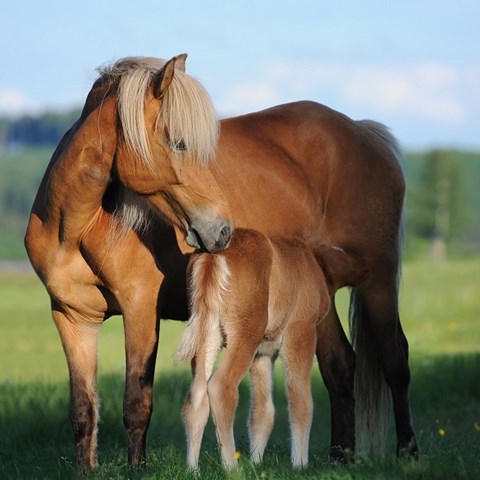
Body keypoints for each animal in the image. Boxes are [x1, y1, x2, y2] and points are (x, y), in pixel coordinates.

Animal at [175, 229, 330, 468]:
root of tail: (213, 255)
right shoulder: (301, 332)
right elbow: (301, 400)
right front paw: (300, 465)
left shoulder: (263, 354)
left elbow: (262, 412)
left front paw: (256, 463)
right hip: (246, 334)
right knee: (221, 388)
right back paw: (231, 466)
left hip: (207, 333)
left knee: (197, 395)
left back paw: (193, 469)